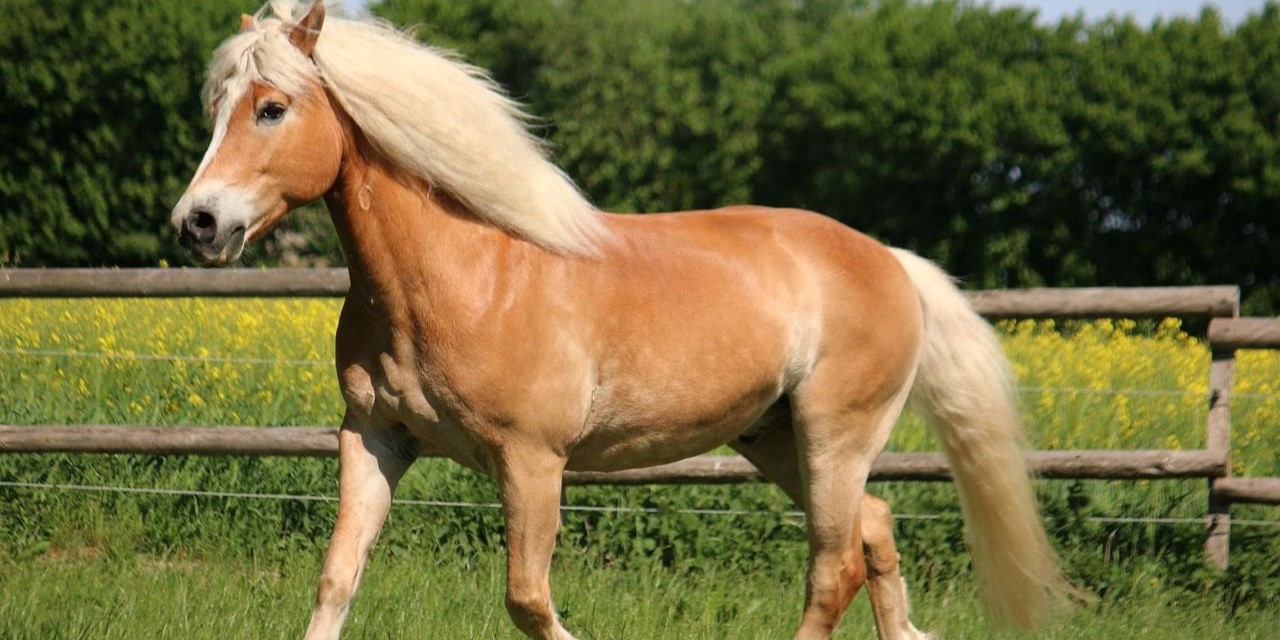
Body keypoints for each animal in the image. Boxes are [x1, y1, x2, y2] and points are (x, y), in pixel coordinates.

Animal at [171, 2, 1075, 638]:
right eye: (217, 107)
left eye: (272, 107)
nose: (198, 223)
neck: (466, 276)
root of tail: (891, 261)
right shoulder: (374, 439)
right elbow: (337, 579)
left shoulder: (533, 463)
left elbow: (528, 600)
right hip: (776, 438)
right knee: (876, 533)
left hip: (834, 437)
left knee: (834, 569)